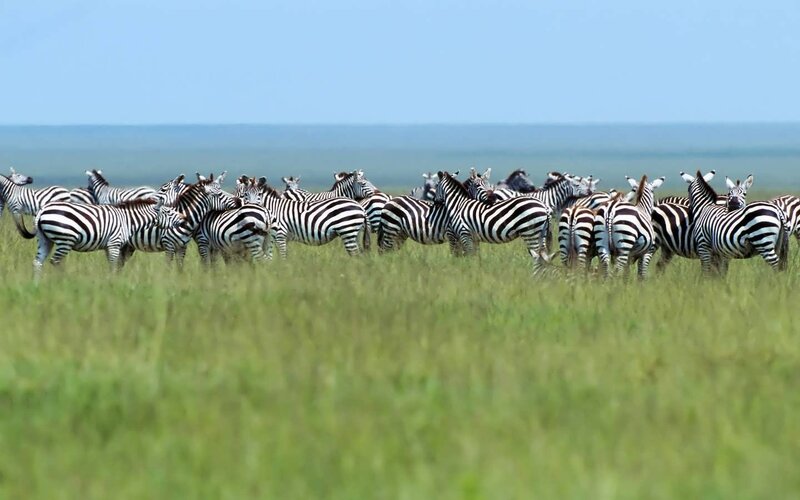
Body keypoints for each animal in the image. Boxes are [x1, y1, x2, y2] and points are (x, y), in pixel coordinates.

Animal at [27, 197, 184, 278]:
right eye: (169, 212)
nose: (184, 219)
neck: (127, 220)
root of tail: (42, 210)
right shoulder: (114, 243)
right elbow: (114, 265)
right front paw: (112, 283)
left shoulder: (108, 246)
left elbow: (113, 264)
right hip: (65, 240)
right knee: (55, 261)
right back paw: (63, 281)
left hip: (45, 240)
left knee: (37, 263)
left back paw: (37, 285)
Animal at [237, 176, 370, 258]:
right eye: (245, 194)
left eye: (259, 194)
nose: (252, 209)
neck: (272, 209)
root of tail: (360, 207)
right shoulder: (275, 237)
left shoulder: (280, 235)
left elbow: (282, 257)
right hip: (355, 233)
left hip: (347, 231)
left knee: (356, 255)